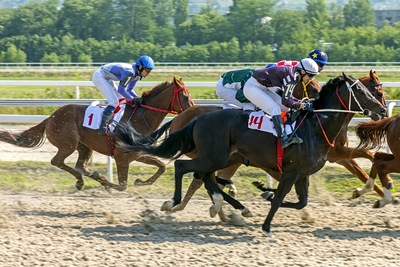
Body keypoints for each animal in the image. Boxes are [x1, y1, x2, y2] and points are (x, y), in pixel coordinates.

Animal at [0, 76, 195, 192]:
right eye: (185, 97)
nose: (193, 110)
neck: (140, 118)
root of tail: (50, 117)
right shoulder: (122, 156)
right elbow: (122, 185)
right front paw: (107, 183)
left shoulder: (138, 154)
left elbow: (161, 167)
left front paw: (141, 181)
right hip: (68, 144)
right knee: (57, 161)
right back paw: (84, 180)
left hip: (85, 146)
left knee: (80, 165)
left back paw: (87, 178)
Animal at [119, 73, 388, 237]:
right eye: (363, 91)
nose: (382, 110)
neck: (314, 126)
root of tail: (196, 118)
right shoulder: (291, 171)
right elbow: (280, 199)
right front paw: (267, 225)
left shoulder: (303, 173)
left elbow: (300, 202)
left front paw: (264, 192)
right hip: (216, 157)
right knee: (185, 168)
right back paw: (176, 202)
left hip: (223, 158)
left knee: (204, 176)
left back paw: (227, 205)